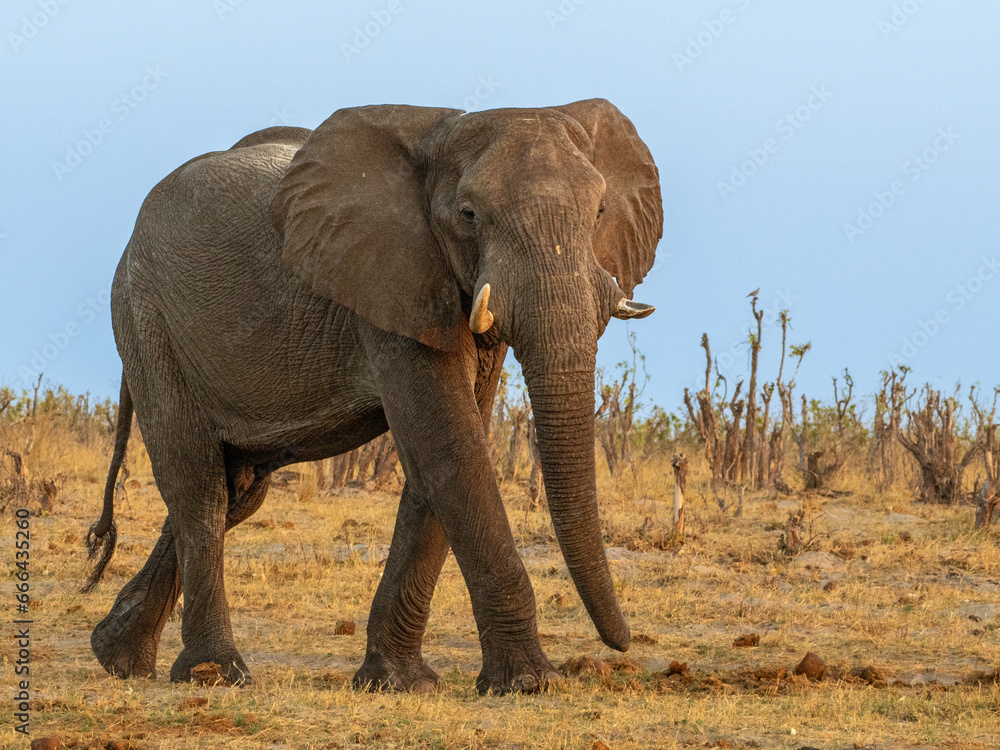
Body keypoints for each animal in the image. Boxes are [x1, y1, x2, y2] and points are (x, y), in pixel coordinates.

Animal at [84, 98, 662, 695]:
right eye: (469, 215)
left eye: (599, 212)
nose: (623, 644)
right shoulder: (389, 282)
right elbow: (450, 448)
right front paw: (529, 684)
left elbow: (443, 455)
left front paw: (400, 683)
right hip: (147, 319)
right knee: (198, 488)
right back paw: (215, 674)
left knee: (237, 491)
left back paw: (118, 657)